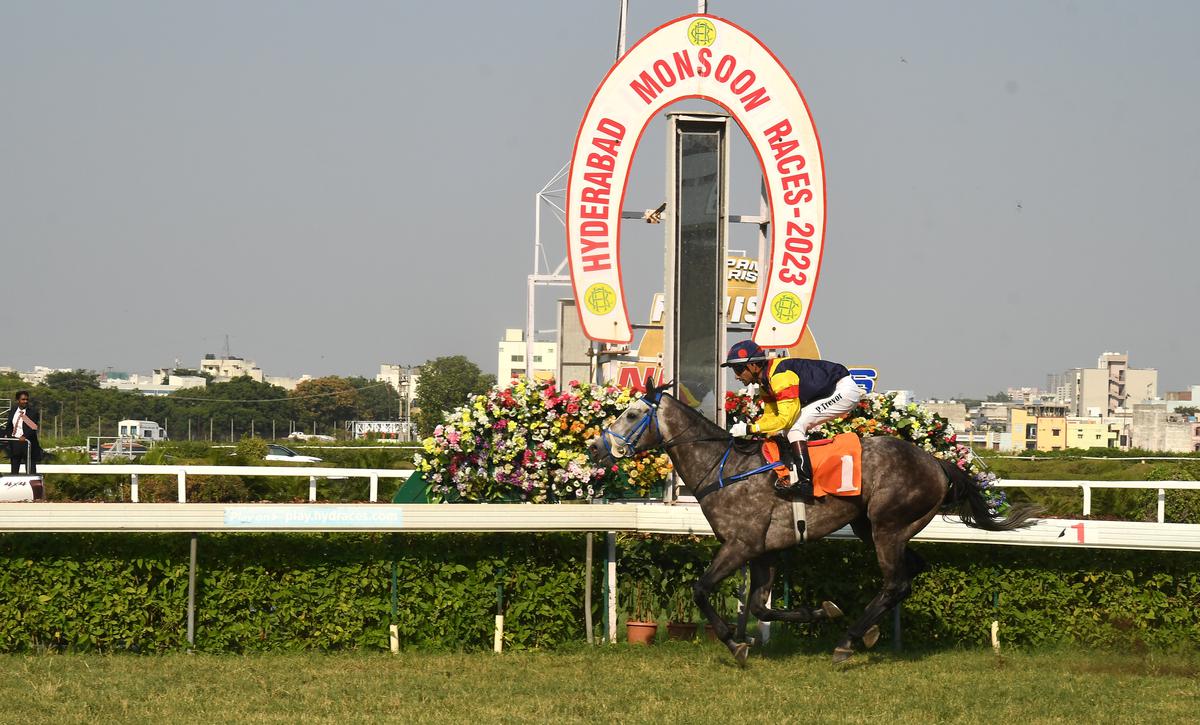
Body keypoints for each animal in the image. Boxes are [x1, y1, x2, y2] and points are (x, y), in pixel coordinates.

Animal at [585, 381, 1036, 667]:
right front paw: (817, 611)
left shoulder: (740, 545)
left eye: (632, 414)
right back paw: (867, 632)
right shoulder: (763, 551)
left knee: (895, 581)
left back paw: (847, 642)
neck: (725, 468)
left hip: (887, 527)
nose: (595, 448)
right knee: (910, 573)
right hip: (876, 528)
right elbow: (759, 606)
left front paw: (734, 644)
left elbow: (701, 590)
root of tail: (937, 463)